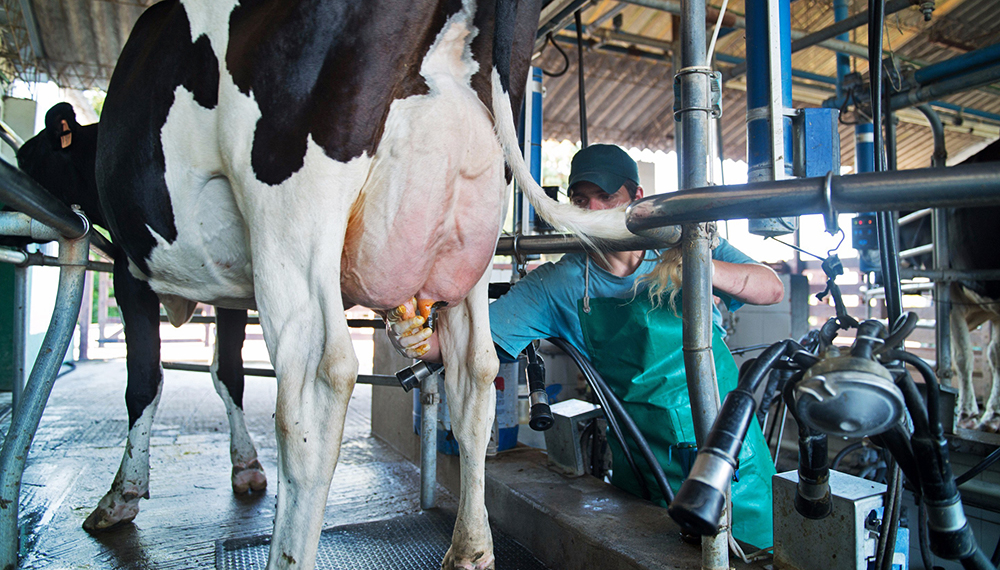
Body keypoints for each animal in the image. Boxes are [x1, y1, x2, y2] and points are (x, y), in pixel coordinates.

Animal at [88, 2, 632, 564]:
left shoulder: (128, 268)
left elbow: (145, 380)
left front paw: (122, 496)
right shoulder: (229, 294)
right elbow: (228, 371)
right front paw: (243, 468)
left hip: (289, 220)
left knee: (315, 389)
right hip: (476, 243)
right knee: (475, 372)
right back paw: (470, 550)